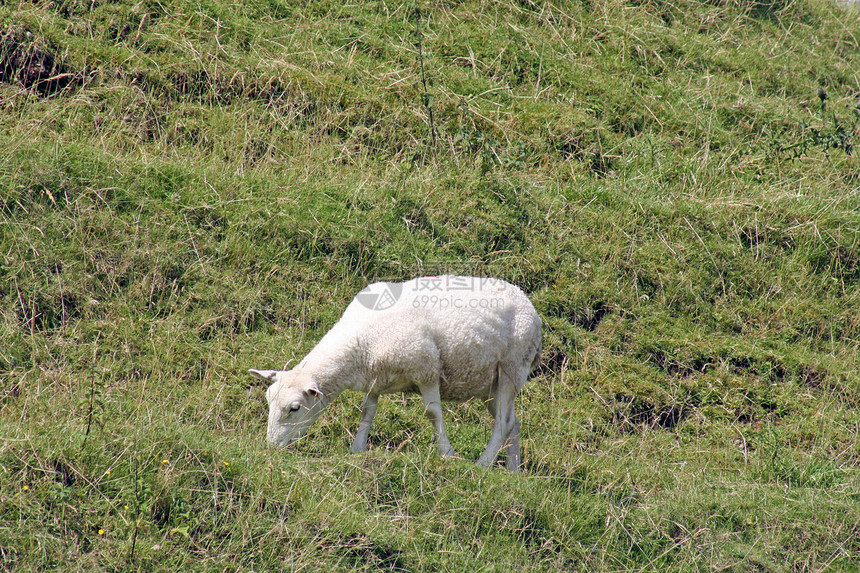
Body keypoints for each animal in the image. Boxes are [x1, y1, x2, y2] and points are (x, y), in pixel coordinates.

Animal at [252, 274, 540, 470]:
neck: (361, 341)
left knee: (503, 423)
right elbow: (367, 412)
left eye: (294, 408)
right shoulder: (376, 378)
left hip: (513, 366)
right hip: (490, 384)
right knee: (513, 422)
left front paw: (446, 453)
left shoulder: (426, 369)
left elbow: (433, 414)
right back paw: (512, 471)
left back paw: (483, 463)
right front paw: (357, 449)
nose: (271, 447)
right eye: (268, 401)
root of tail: (528, 304)